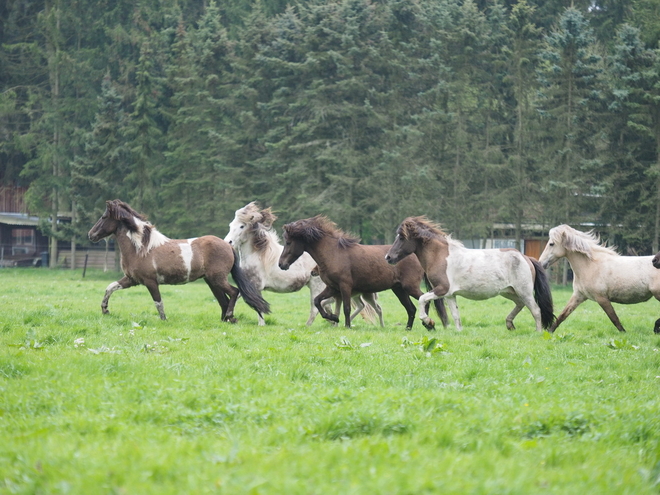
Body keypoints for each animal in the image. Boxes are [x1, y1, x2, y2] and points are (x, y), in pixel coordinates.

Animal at [88, 200, 270, 324]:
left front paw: (164, 321)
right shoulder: (132, 280)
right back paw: (225, 320)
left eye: (104, 217)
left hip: (217, 278)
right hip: (211, 281)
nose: (91, 235)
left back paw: (230, 316)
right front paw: (105, 310)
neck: (141, 248)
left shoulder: (150, 281)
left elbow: (158, 303)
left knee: (234, 292)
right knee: (223, 300)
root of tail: (228, 245)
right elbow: (110, 287)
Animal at [226, 203, 378, 328]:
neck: (258, 255)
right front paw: (228, 316)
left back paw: (310, 325)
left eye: (241, 226)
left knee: (317, 307)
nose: (228, 242)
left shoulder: (256, 285)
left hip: (318, 286)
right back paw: (333, 322)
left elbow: (257, 305)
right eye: (230, 225)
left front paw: (261, 324)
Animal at [276, 216, 446, 330]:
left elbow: (346, 308)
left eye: (288, 242)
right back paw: (408, 328)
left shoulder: (344, 286)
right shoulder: (332, 288)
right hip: (399, 289)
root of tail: (417, 256)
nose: (281, 264)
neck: (333, 253)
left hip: (410, 287)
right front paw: (333, 318)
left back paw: (428, 323)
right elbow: (318, 301)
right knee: (411, 308)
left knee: (425, 300)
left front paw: (346, 326)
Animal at [384, 217, 556, 334]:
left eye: (401, 237)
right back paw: (509, 324)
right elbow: (456, 315)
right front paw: (458, 332)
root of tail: (526, 258)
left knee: (535, 310)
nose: (388, 257)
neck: (440, 255)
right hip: (510, 292)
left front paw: (429, 322)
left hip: (524, 291)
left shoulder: (442, 289)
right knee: (520, 305)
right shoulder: (450, 295)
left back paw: (537, 332)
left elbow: (422, 299)